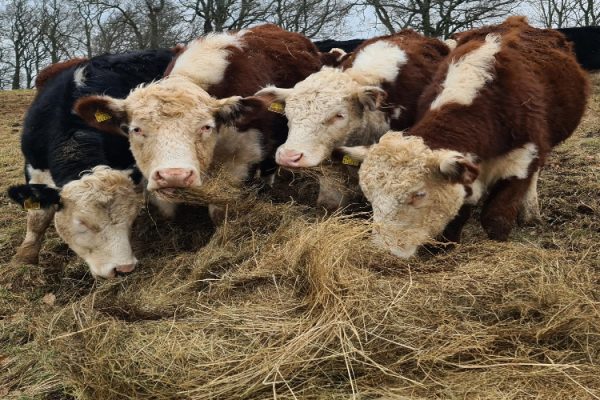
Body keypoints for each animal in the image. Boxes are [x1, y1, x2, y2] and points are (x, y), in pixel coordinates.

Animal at [8, 49, 175, 278]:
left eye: (130, 218)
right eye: (82, 224)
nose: (124, 268)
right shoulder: (34, 166)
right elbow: (37, 218)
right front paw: (24, 258)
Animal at [75, 24, 328, 222]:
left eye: (206, 127)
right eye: (136, 129)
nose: (174, 175)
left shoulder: (238, 163)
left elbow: (218, 212)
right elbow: (167, 212)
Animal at [340, 15, 588, 258]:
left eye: (418, 195)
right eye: (370, 197)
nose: (384, 252)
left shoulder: (522, 160)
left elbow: (496, 218)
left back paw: (530, 212)